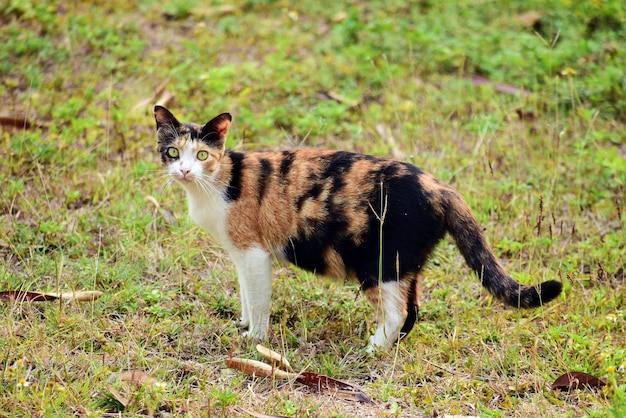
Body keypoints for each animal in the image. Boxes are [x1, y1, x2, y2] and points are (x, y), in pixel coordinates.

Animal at [155, 105, 560, 352]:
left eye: (202, 155)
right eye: (173, 152)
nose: (185, 170)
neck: (214, 183)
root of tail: (440, 187)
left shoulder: (254, 253)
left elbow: (258, 300)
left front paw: (254, 338)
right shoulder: (239, 254)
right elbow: (244, 294)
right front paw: (242, 324)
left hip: (379, 263)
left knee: (397, 312)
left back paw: (372, 349)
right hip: (405, 263)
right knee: (413, 310)